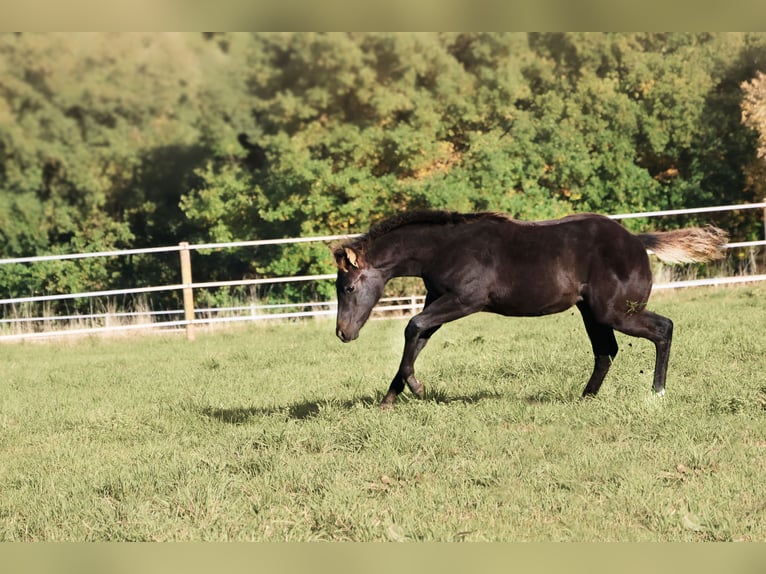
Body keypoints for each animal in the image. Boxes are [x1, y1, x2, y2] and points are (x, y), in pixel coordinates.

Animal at [331, 211, 728, 409]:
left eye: (347, 287)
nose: (343, 333)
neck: (444, 247)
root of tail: (637, 240)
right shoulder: (437, 300)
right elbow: (417, 336)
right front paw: (389, 399)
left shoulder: (465, 300)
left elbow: (412, 326)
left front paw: (416, 388)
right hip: (594, 313)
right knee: (606, 351)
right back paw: (584, 399)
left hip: (616, 311)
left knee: (663, 328)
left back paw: (657, 394)